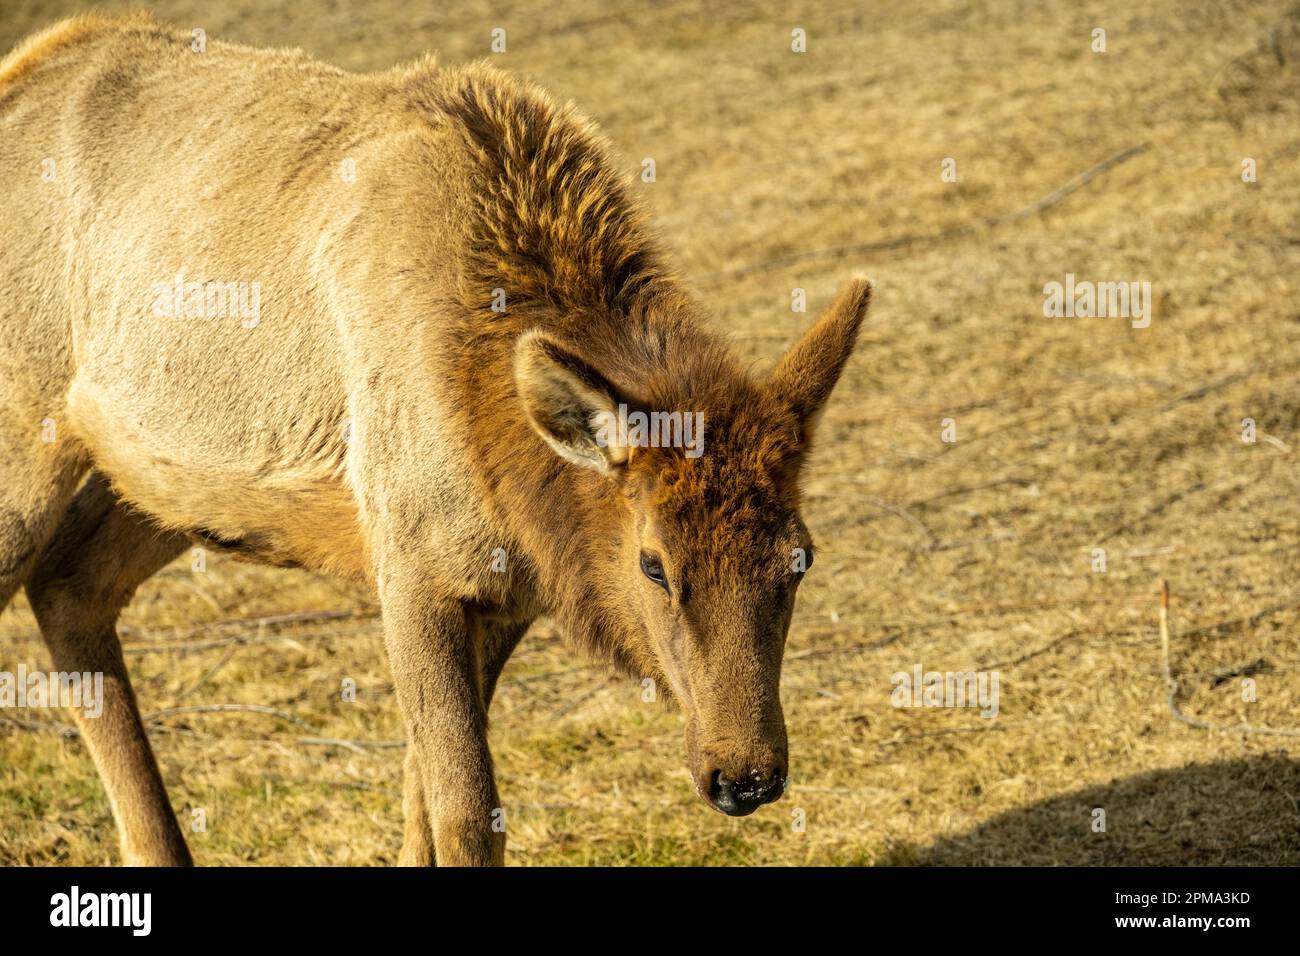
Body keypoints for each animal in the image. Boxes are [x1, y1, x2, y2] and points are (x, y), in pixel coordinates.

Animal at [2, 13, 873, 868]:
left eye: (800, 557)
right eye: (652, 563)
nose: (744, 775)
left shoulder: (505, 588)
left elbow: (423, 806)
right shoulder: (411, 567)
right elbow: (464, 816)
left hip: (161, 485)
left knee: (69, 582)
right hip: (29, 443)